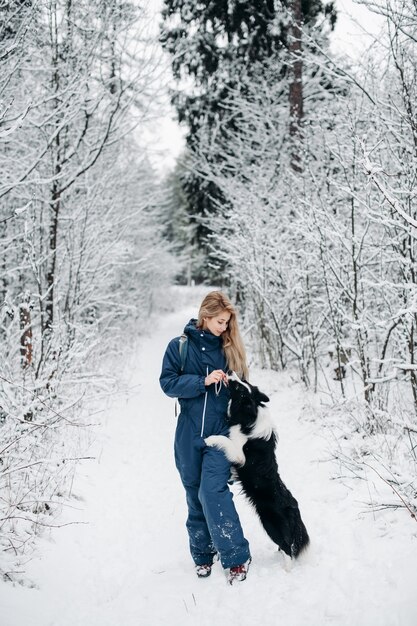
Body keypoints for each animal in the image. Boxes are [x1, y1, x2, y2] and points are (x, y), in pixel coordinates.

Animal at [205, 370, 308, 556]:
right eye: (243, 382)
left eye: (239, 387)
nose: (229, 371)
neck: (250, 416)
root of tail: (294, 509)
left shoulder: (240, 455)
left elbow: (225, 440)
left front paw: (209, 439)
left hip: (270, 524)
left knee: (287, 548)